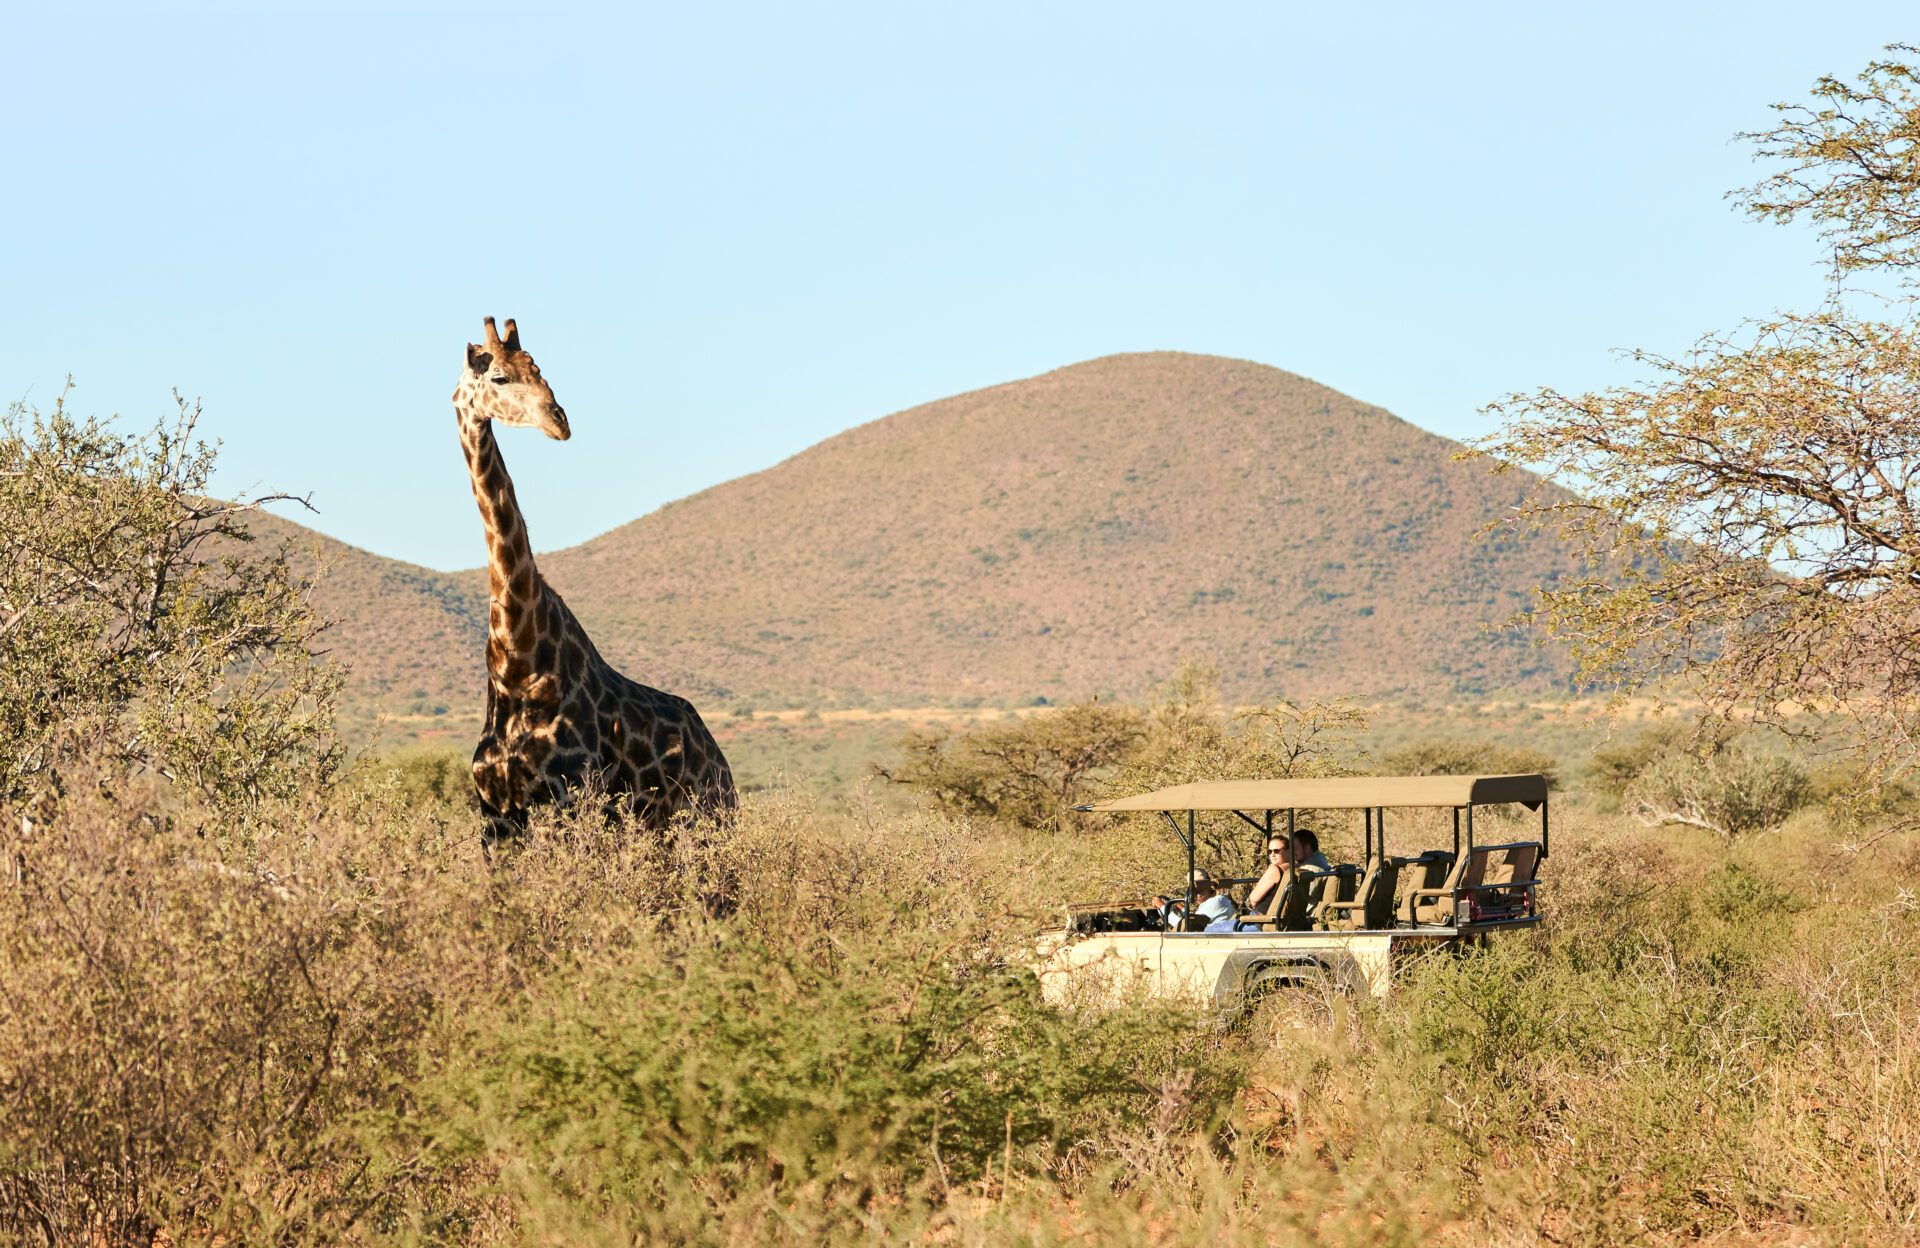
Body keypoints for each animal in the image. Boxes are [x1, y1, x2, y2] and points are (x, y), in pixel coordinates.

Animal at [453, 316, 737, 848]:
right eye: (499, 376)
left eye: (539, 369)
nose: (559, 421)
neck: (516, 663)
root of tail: (720, 761)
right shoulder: (496, 817)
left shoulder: (567, 800)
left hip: (708, 821)